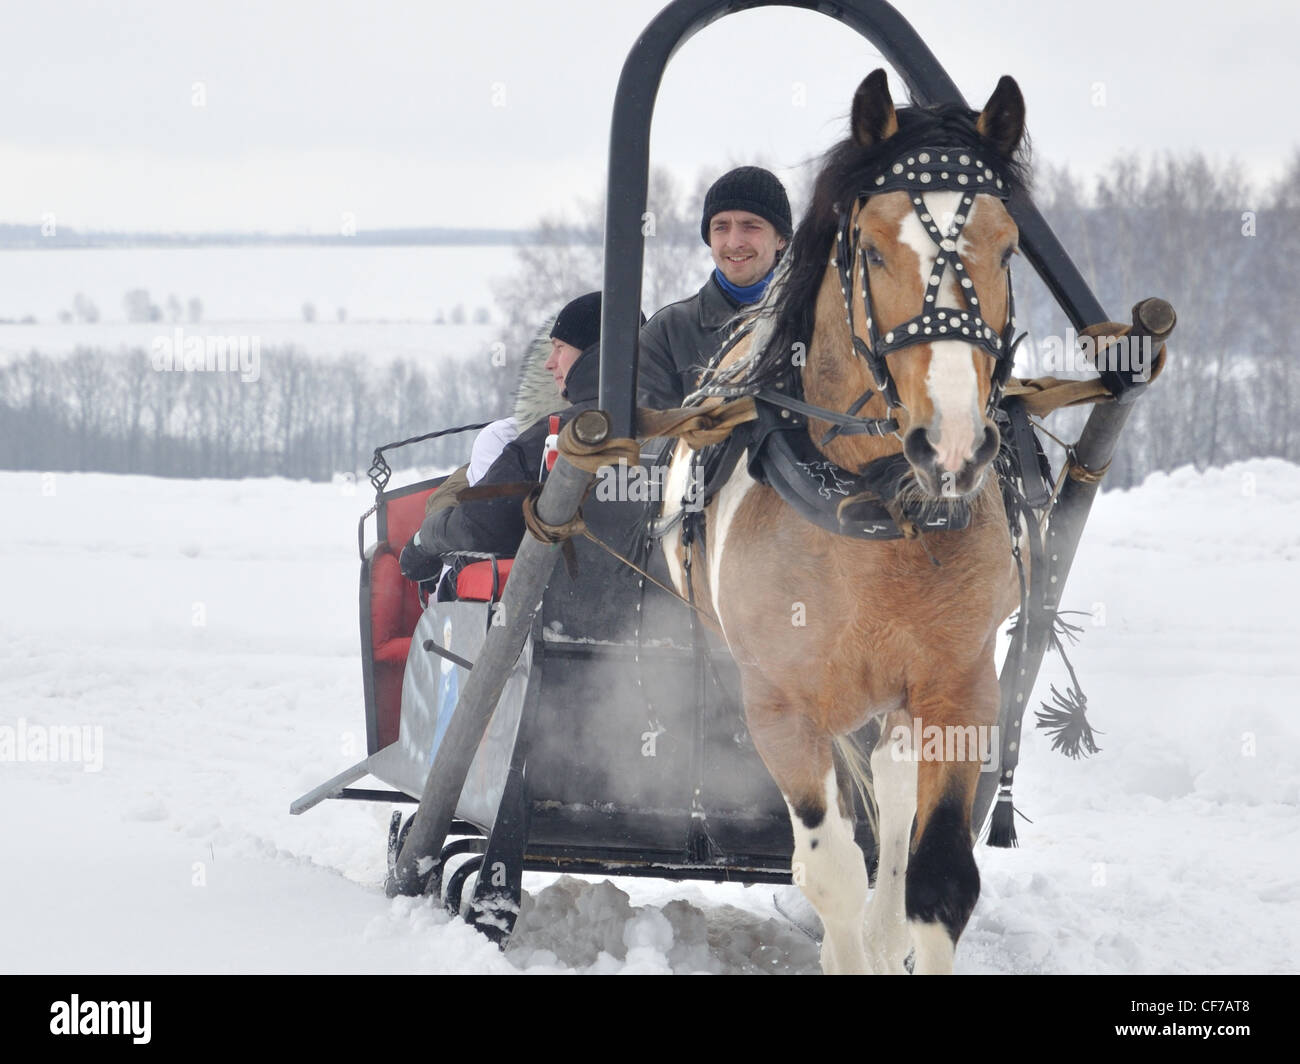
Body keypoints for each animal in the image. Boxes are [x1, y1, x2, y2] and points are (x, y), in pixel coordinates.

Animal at [658, 69, 1029, 975]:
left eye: (1008, 250)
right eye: (871, 250)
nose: (954, 445)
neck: (873, 511)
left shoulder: (960, 684)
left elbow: (939, 879)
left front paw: (897, 928)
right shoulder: (780, 702)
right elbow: (829, 873)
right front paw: (845, 941)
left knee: (892, 799)